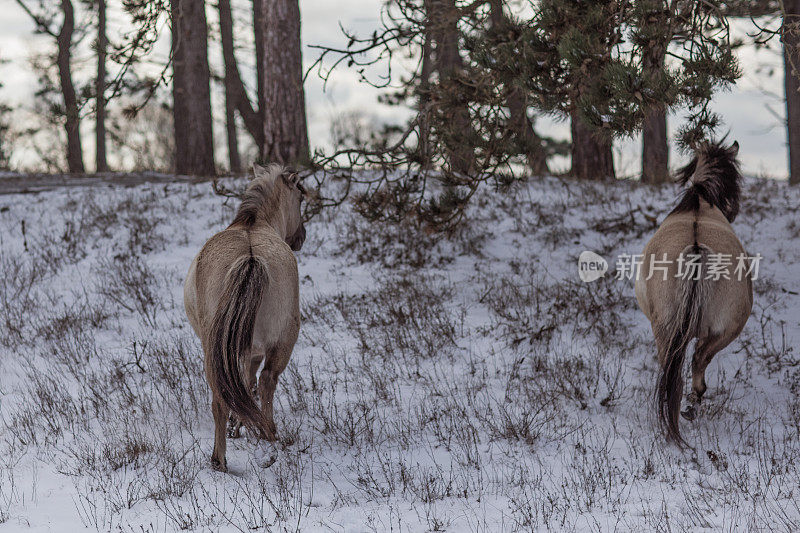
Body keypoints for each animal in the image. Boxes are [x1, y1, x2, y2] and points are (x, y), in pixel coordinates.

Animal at [184, 163, 306, 470]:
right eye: (301, 198)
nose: (300, 237)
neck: (252, 224)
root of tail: (250, 257)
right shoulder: (249, 351)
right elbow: (247, 383)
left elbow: (244, 384)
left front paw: (237, 425)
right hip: (275, 342)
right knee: (266, 382)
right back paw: (265, 434)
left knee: (228, 395)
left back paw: (223, 457)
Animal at [636, 140, 752, 444]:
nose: (733, 210)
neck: (698, 205)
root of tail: (697, 248)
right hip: (723, 329)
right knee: (697, 359)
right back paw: (689, 406)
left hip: (669, 328)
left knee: (680, 364)